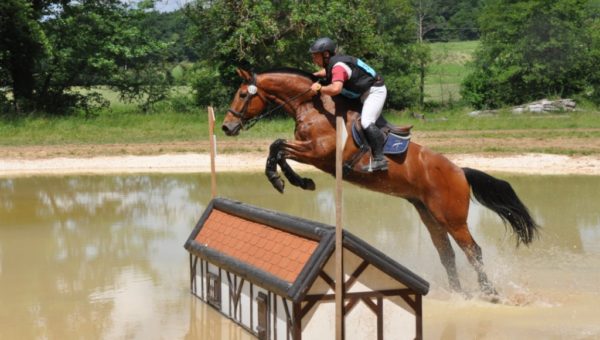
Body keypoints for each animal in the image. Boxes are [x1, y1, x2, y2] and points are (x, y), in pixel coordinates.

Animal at [220, 67, 540, 296]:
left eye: (242, 94)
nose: (226, 127)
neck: (312, 107)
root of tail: (460, 171)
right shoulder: (309, 152)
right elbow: (278, 148)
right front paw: (296, 181)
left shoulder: (317, 152)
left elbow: (277, 146)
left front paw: (282, 179)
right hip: (429, 214)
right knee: (446, 253)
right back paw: (458, 294)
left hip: (452, 217)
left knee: (473, 251)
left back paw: (489, 293)